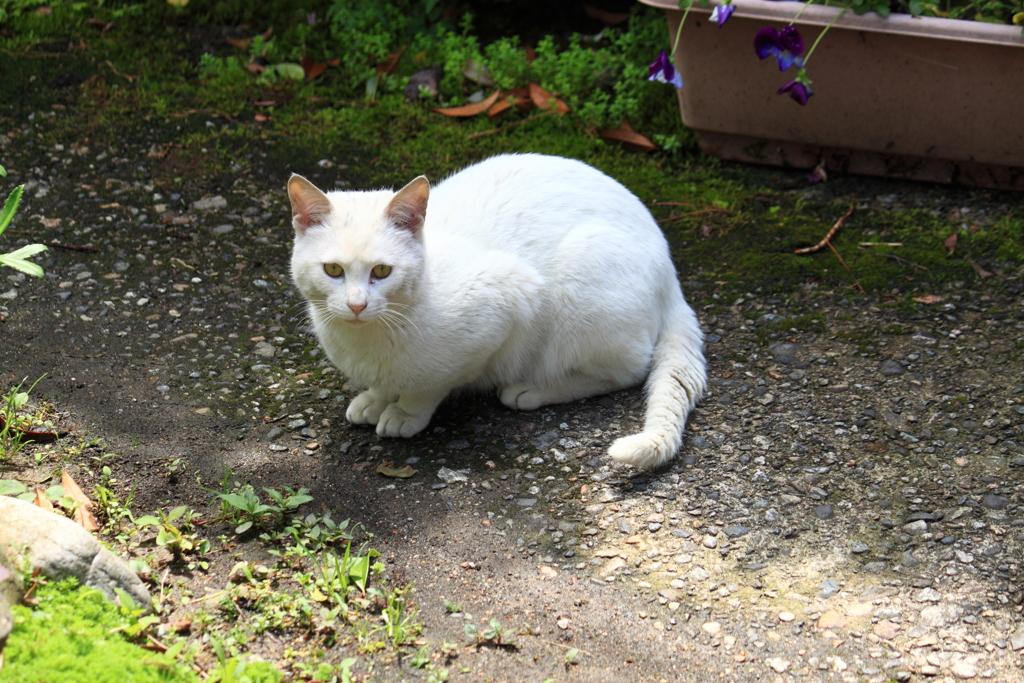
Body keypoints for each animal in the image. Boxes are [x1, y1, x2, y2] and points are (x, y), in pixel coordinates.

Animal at [288, 154, 704, 471]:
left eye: (381, 271)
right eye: (333, 270)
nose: (357, 304)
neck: (366, 340)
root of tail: (672, 273)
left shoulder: (507, 299)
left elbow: (431, 385)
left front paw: (405, 412)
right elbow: (384, 383)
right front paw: (375, 399)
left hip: (582, 273)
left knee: (627, 370)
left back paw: (532, 390)